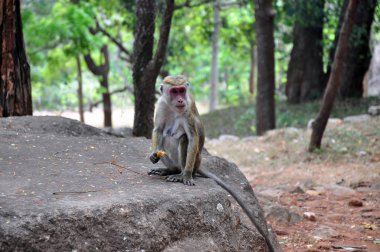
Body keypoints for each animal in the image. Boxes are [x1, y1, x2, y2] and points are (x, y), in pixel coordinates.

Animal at [148, 76, 276, 252]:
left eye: (182, 90)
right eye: (174, 91)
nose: (180, 99)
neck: (174, 107)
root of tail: (199, 163)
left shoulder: (187, 109)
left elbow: (193, 136)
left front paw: (186, 176)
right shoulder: (161, 105)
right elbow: (158, 130)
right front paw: (154, 154)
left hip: (195, 161)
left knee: (183, 139)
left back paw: (180, 173)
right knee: (166, 135)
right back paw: (169, 170)